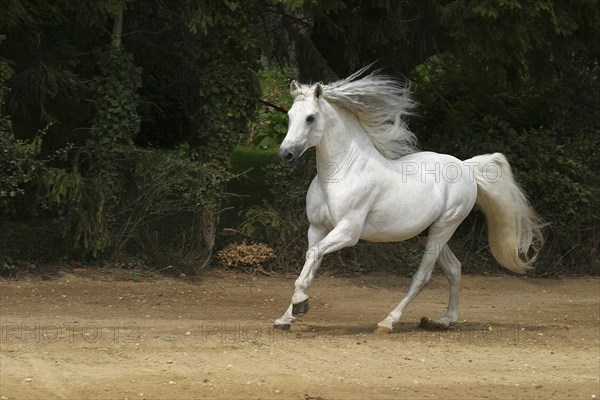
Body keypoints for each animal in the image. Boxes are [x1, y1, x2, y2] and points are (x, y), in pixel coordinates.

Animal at [274, 69, 548, 334]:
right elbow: (310, 264)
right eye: (289, 115)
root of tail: (465, 167)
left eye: (310, 118)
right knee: (454, 268)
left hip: (444, 228)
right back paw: (445, 320)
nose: (285, 155)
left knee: (422, 277)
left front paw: (299, 305)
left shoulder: (348, 231)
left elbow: (312, 257)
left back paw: (388, 322)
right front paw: (288, 316)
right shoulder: (317, 228)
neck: (343, 171)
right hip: (429, 232)